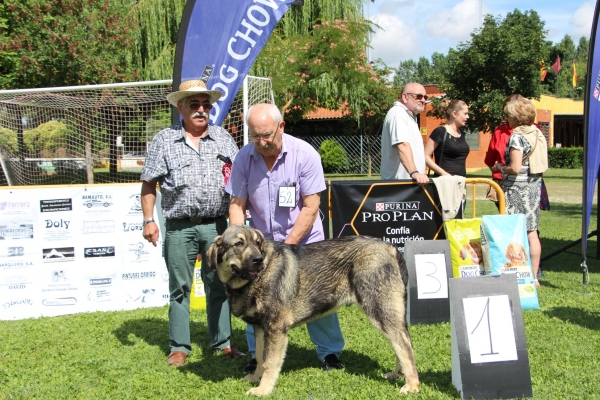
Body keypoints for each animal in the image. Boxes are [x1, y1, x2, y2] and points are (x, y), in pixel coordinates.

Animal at [209, 225, 420, 396]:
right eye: (239, 244)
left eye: (257, 243)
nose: (258, 260)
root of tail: (390, 248)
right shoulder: (260, 328)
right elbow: (260, 357)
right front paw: (256, 378)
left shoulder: (275, 328)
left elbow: (270, 361)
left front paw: (264, 389)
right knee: (400, 343)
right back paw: (397, 374)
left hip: (379, 309)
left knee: (404, 345)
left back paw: (412, 385)